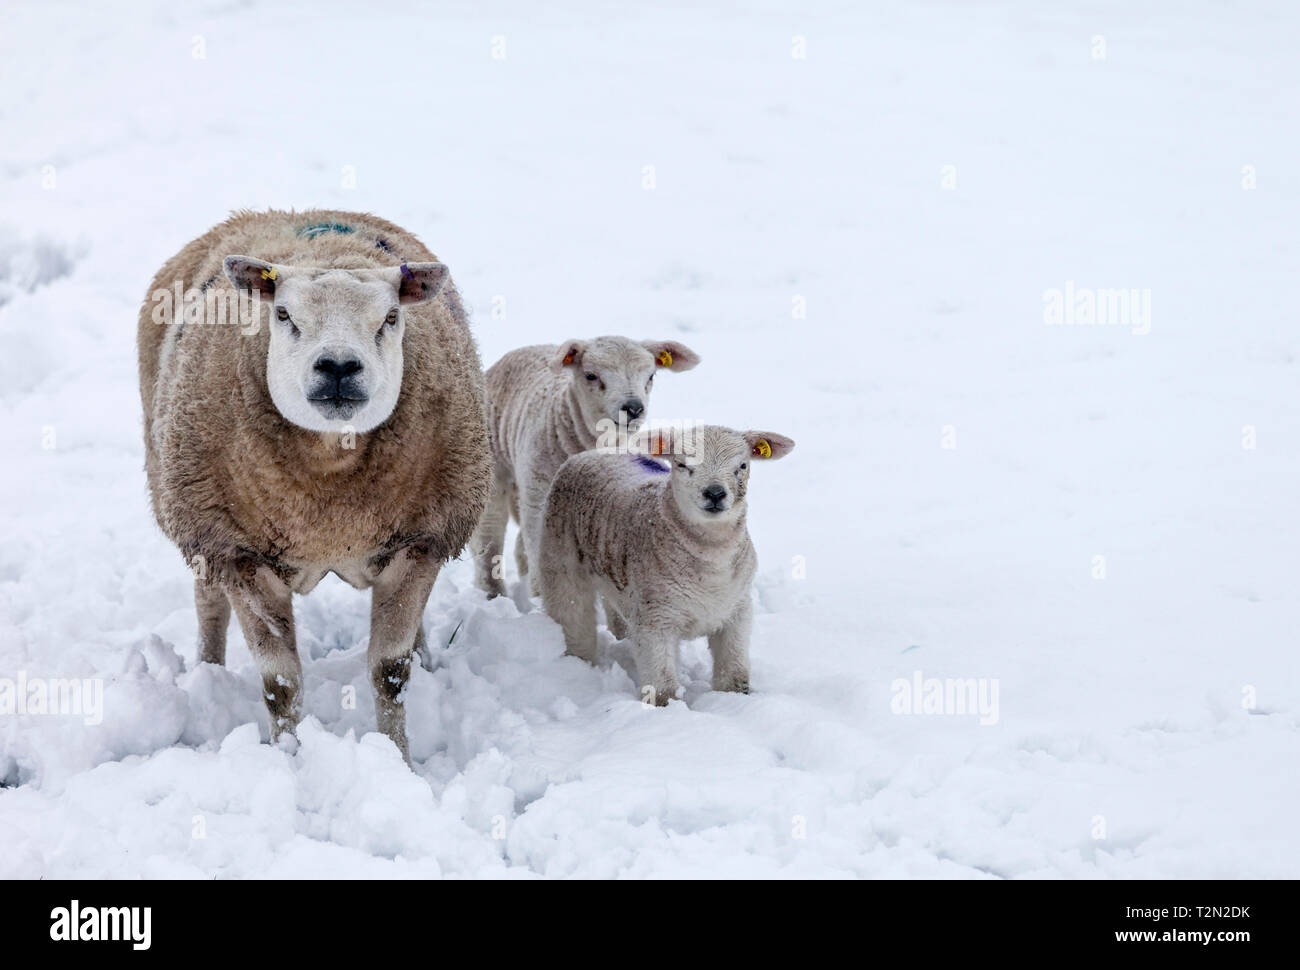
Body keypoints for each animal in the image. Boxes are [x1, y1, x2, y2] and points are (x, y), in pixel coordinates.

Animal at [137, 208, 488, 759]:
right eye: (283, 315)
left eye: (391, 317)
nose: (339, 366)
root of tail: (290, 212)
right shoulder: (240, 554)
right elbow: (280, 685)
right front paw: (289, 759)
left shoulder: (421, 541)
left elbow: (391, 672)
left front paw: (399, 758)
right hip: (192, 511)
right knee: (207, 603)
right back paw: (208, 672)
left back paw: (427, 657)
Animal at [470, 335, 702, 598]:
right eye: (591, 375)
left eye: (651, 375)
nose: (634, 408)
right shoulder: (538, 498)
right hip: (493, 470)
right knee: (488, 540)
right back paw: (493, 593)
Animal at [538, 423, 790, 702]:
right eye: (681, 464)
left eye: (743, 465)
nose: (715, 494)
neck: (711, 566)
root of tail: (596, 451)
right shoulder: (655, 619)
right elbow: (662, 687)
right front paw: (668, 708)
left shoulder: (737, 611)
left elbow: (734, 675)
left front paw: (734, 700)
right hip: (559, 558)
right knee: (573, 617)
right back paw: (579, 666)